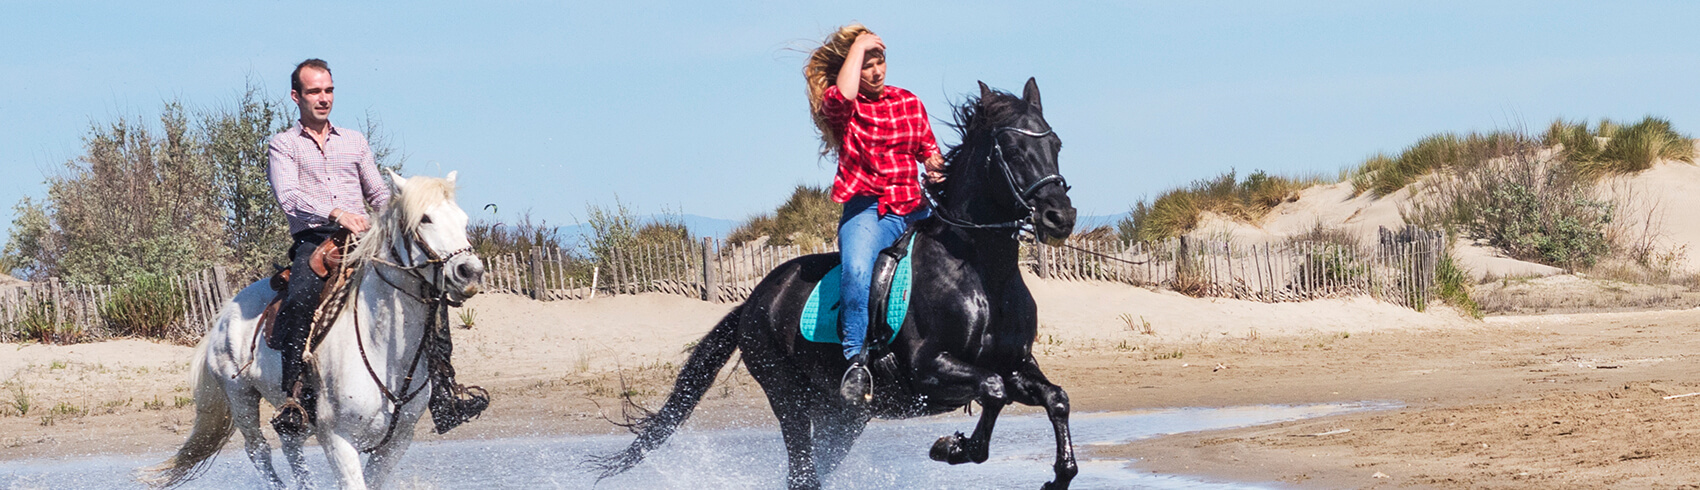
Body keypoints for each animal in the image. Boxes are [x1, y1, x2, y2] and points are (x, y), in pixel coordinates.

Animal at [144, 171, 485, 490]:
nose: (470, 272)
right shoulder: (338, 439)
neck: (384, 353)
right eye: (425, 218)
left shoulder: (396, 443)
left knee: (290, 446)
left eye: (463, 219)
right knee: (259, 451)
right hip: (240, 396)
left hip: (289, 415)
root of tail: (223, 314)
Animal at [592, 78, 1078, 489]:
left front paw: (1060, 474)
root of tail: (754, 301)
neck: (980, 273)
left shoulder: (1017, 365)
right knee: (802, 473)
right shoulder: (928, 368)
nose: (1061, 216)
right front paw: (951, 448)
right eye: (1012, 148)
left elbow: (1055, 397)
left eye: (1055, 143)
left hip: (843, 416)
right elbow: (993, 390)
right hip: (788, 397)